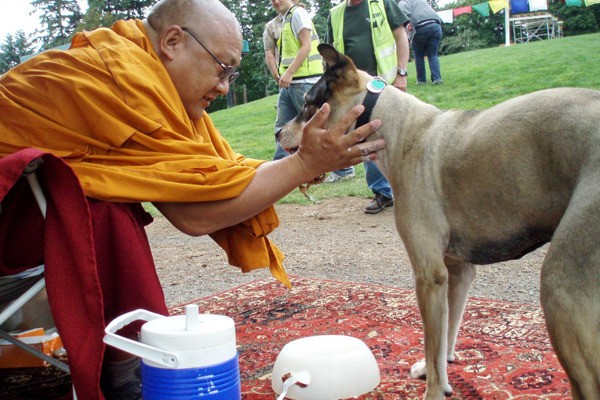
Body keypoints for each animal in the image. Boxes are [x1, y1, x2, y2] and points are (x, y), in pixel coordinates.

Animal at [278, 43, 600, 400]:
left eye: (308, 105)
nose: (277, 132)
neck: (401, 129)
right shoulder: (457, 272)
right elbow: (447, 332)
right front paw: (439, 373)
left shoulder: (429, 276)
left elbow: (433, 342)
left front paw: (433, 389)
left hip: (563, 292)